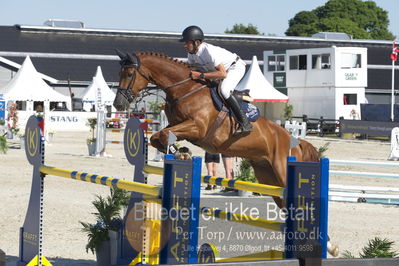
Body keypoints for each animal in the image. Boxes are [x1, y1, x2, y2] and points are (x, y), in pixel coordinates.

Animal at [113, 51, 322, 206]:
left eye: (129, 74)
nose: (118, 104)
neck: (185, 89)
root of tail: (296, 141)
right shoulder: (177, 125)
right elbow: (158, 137)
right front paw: (181, 152)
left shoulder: (197, 128)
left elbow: (163, 135)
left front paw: (181, 153)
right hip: (267, 176)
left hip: (282, 172)